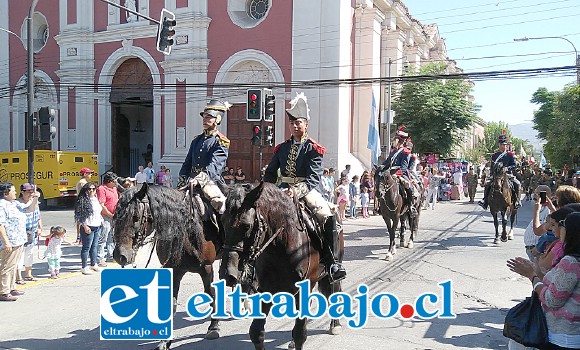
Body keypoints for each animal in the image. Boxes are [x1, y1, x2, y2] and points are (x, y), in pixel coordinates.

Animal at [112, 183, 222, 350]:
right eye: (116, 216)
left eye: (136, 217)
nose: (120, 256)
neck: (186, 232)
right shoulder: (174, 270)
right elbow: (172, 304)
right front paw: (164, 341)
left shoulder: (207, 268)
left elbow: (211, 294)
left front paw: (214, 327)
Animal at [220, 183, 342, 350]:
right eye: (222, 221)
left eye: (246, 226)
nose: (228, 273)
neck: (283, 244)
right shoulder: (266, 289)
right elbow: (256, 332)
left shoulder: (304, 290)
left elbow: (300, 334)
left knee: (334, 290)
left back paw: (336, 324)